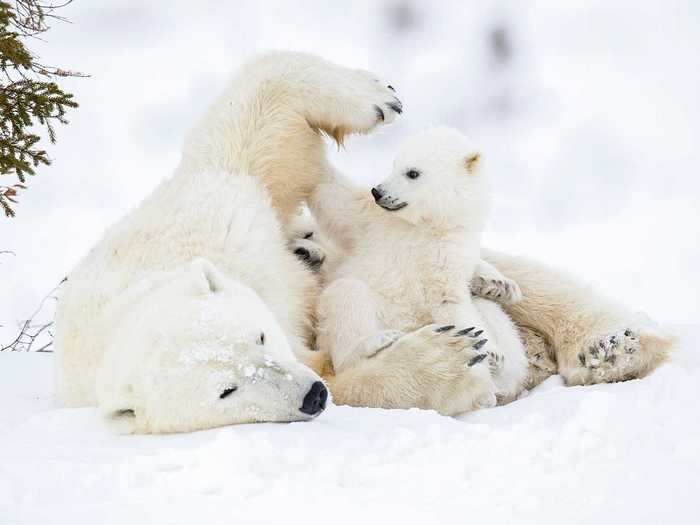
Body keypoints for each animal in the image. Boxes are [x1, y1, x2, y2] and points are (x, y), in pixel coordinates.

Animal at [314, 127, 528, 410]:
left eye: (412, 173)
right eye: (393, 164)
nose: (377, 191)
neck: (426, 227)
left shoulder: (450, 255)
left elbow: (452, 304)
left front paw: (488, 354)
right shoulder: (373, 222)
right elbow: (338, 201)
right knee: (348, 296)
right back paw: (378, 342)